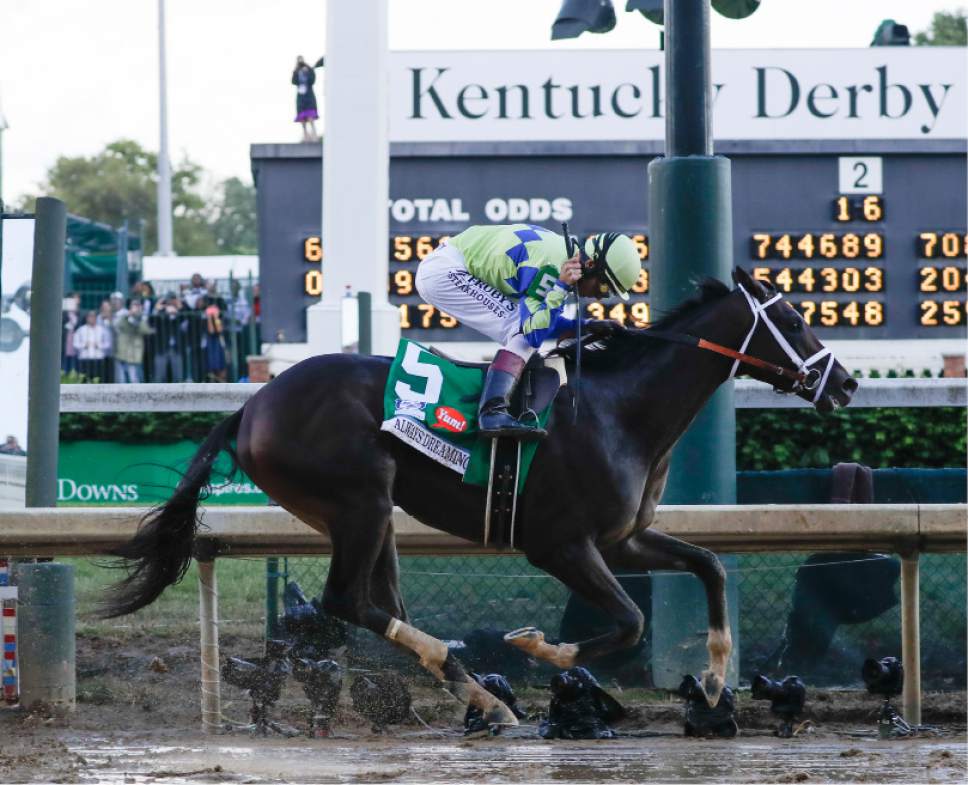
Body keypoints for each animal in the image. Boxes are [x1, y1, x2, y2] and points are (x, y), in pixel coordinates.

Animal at [104, 268, 856, 724]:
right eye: (793, 318)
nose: (845, 383)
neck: (619, 412)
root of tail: (251, 406)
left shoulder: (624, 538)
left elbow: (710, 564)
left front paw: (716, 680)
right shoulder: (560, 545)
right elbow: (628, 621)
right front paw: (542, 650)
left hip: (372, 515)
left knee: (375, 605)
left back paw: (462, 686)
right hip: (360, 503)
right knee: (347, 601)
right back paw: (473, 688)